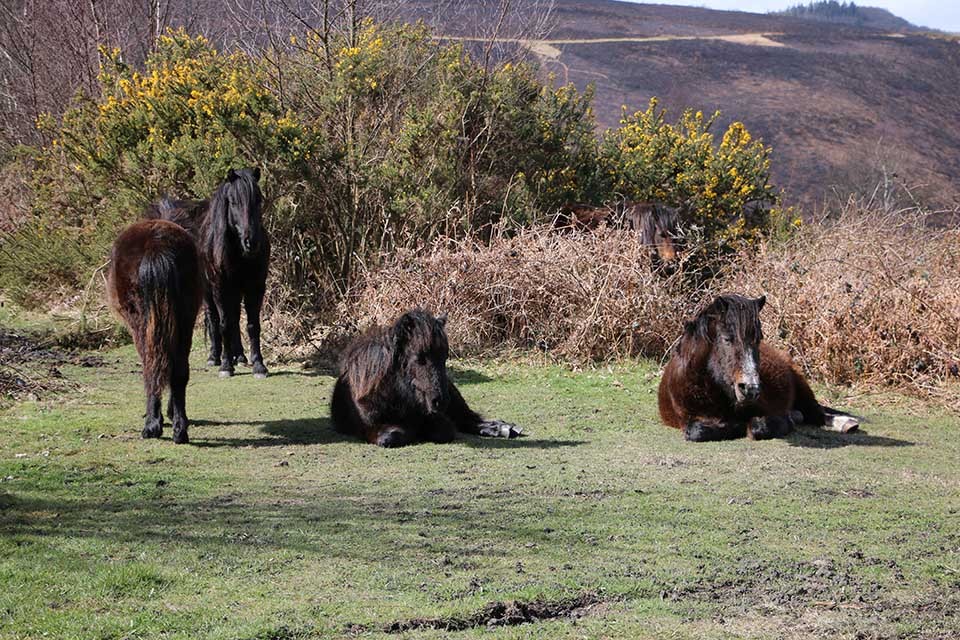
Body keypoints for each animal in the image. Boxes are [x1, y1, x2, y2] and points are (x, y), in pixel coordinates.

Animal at [107, 219, 202, 444]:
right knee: (179, 372)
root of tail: (156, 245)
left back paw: (152, 425)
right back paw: (179, 430)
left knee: (151, 367)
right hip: (185, 323)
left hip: (141, 326)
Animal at [146, 168, 270, 378]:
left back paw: (240, 356)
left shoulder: (255, 287)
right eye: (233, 201)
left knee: (235, 318)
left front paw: (258, 365)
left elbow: (253, 325)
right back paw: (215, 357)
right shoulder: (220, 288)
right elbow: (223, 324)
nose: (251, 242)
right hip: (209, 292)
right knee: (214, 319)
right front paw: (226, 366)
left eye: (258, 199)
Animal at [330, 310, 523, 447]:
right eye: (419, 358)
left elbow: (445, 430)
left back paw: (504, 428)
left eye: (444, 357)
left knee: (469, 419)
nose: (439, 401)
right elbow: (391, 436)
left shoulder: (436, 418)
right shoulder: (370, 428)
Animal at [658, 294, 854, 442]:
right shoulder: (686, 419)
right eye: (727, 339)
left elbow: (760, 426)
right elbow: (696, 431)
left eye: (758, 338)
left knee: (815, 411)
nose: (750, 388)